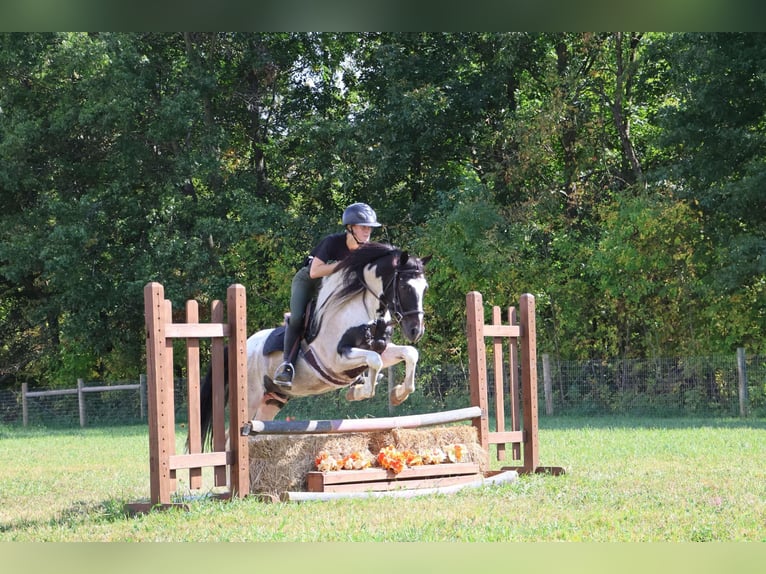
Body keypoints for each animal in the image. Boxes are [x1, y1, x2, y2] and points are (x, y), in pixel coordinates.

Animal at [198, 242, 430, 447]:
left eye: (425, 288)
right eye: (404, 286)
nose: (416, 331)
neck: (367, 312)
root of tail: (242, 346)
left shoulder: (381, 349)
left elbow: (409, 353)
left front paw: (398, 394)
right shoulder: (336, 359)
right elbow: (374, 361)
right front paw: (360, 392)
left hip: (272, 400)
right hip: (251, 395)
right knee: (232, 436)